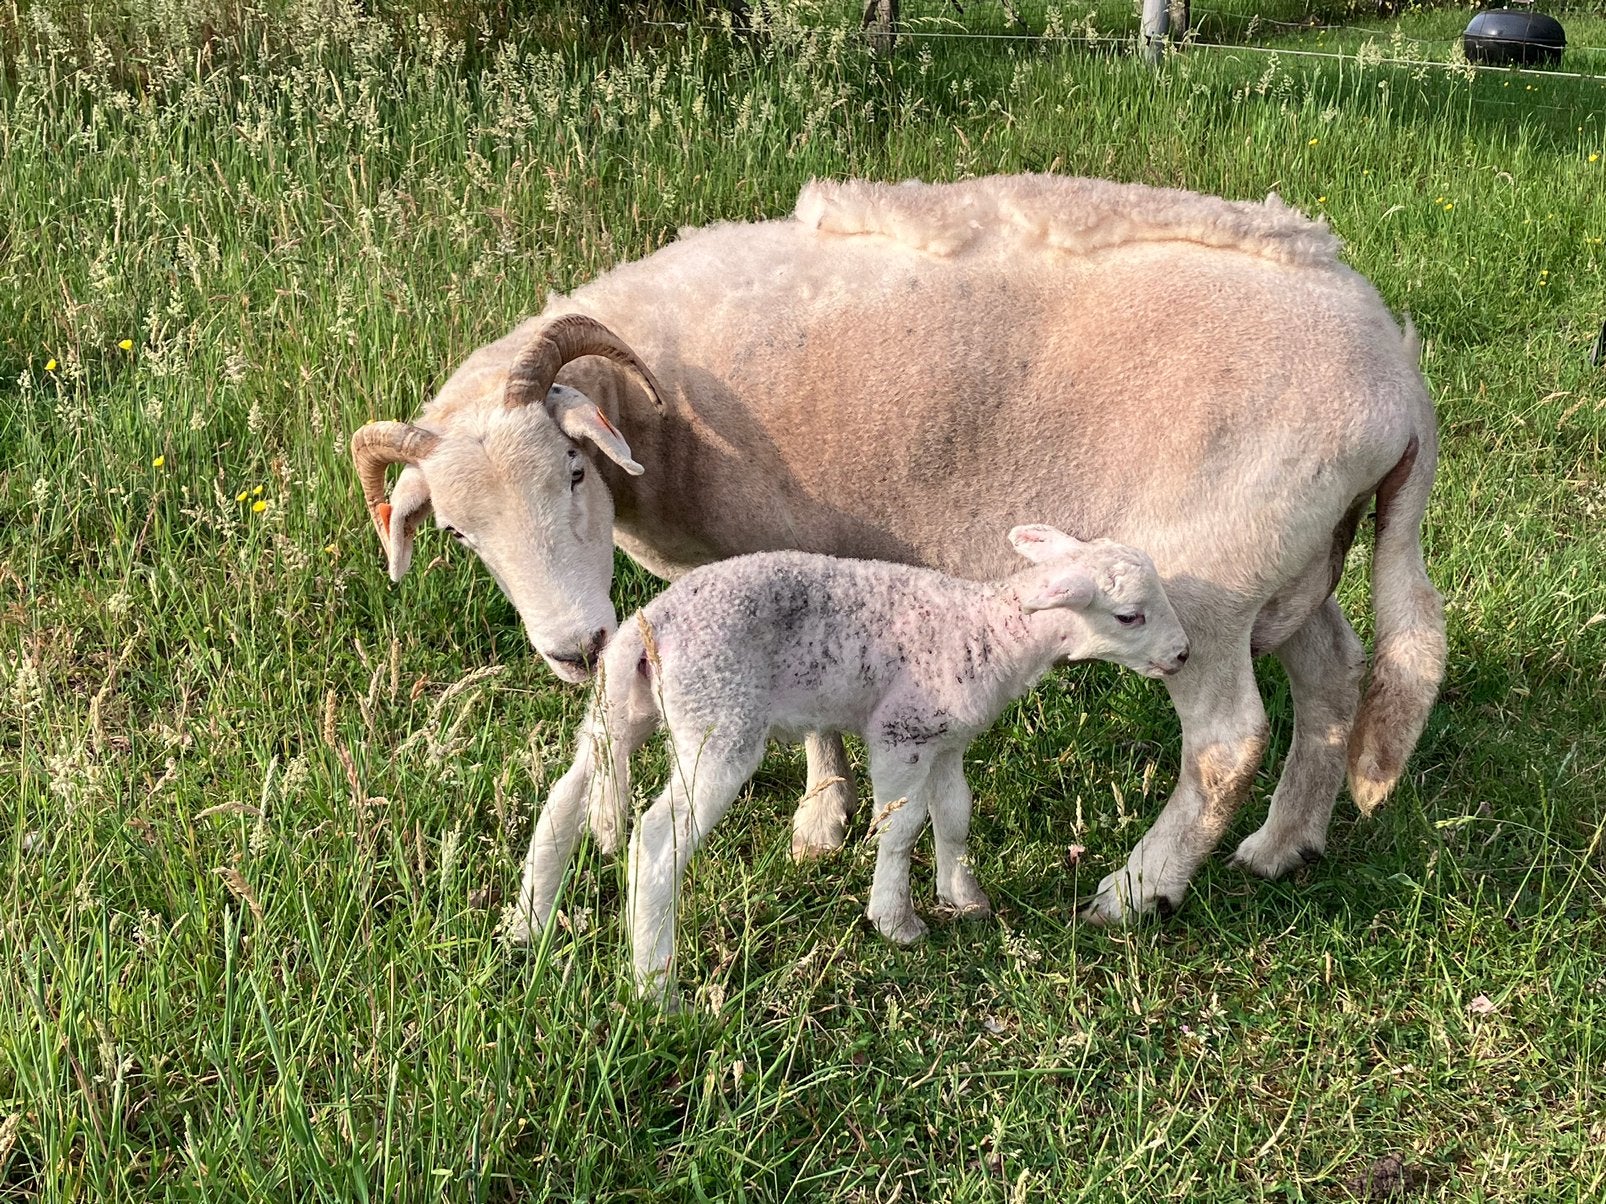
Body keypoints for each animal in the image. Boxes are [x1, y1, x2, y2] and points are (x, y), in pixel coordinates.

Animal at [351, 173, 1445, 926]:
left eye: (572, 472)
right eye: (459, 532)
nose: (576, 648)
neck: (660, 411)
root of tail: (1396, 374)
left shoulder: (783, 546)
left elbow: (813, 716)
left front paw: (820, 816)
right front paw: (829, 815)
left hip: (1208, 581)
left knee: (1226, 741)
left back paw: (1137, 889)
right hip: (1294, 560)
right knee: (1336, 679)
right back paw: (1281, 845)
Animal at [505, 524, 1190, 995]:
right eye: (1130, 616)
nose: (1183, 654)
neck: (991, 630)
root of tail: (654, 626)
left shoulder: (946, 738)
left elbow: (954, 815)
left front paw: (964, 897)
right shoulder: (901, 731)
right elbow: (901, 826)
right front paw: (895, 920)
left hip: (624, 707)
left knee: (565, 798)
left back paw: (529, 925)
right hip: (718, 720)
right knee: (655, 837)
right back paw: (655, 985)